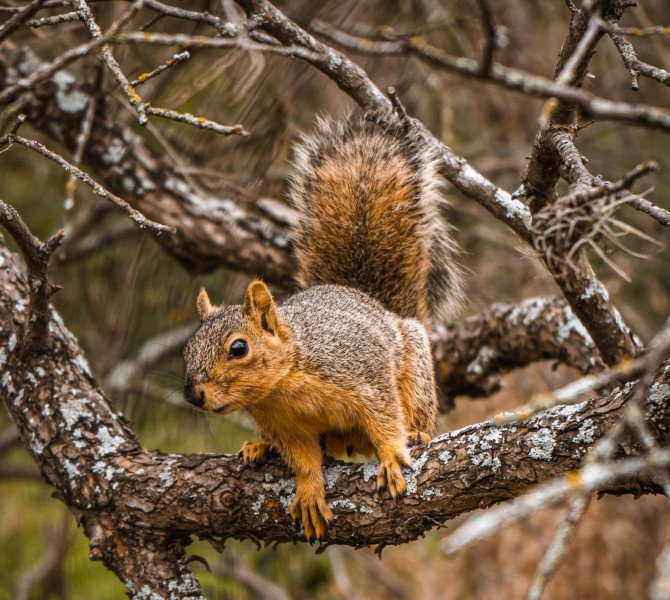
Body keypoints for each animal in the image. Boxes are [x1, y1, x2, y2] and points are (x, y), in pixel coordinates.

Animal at [184, 112, 468, 540]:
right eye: (187, 348)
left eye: (238, 348)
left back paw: (418, 432)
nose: (193, 394)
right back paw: (260, 448)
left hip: (416, 369)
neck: (285, 384)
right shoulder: (285, 426)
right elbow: (303, 460)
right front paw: (309, 491)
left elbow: (385, 418)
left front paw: (391, 456)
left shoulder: (364, 373)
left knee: (416, 409)